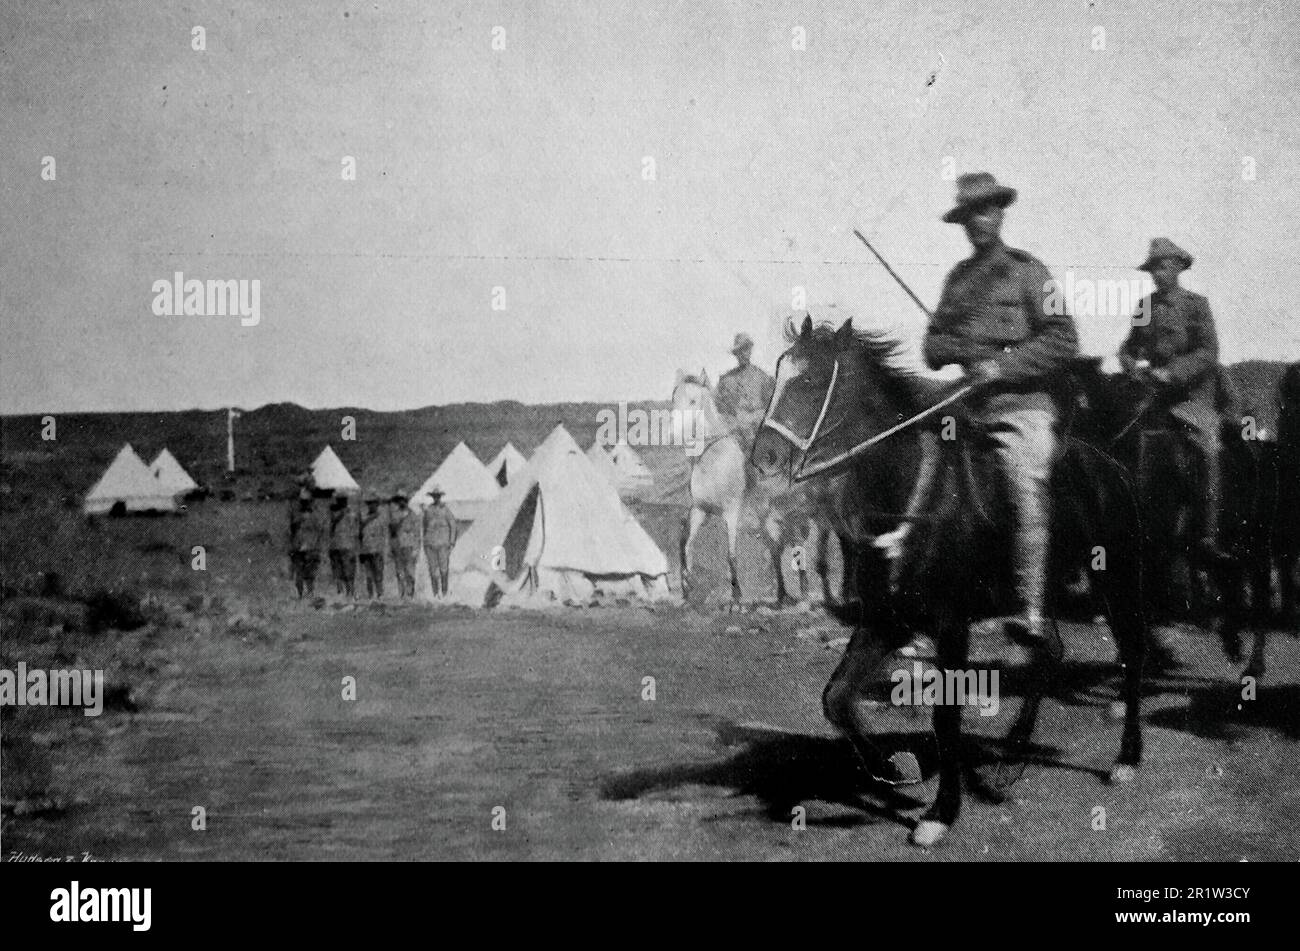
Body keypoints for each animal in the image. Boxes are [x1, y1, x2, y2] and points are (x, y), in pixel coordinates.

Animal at [676, 368, 826, 605]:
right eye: (674, 398)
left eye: (692, 401)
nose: (674, 431)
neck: (712, 458)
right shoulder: (700, 510)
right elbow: (685, 543)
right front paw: (686, 587)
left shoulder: (731, 513)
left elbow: (731, 554)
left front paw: (737, 598)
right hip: (774, 519)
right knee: (779, 550)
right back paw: (782, 595)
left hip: (801, 515)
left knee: (799, 546)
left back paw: (803, 592)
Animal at [754, 319, 1149, 847]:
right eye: (778, 374)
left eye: (813, 381)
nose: (763, 457)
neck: (908, 495)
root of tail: (1113, 467)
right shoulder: (887, 620)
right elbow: (836, 698)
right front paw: (895, 769)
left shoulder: (950, 625)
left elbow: (945, 717)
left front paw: (941, 812)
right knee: (1049, 651)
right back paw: (1009, 760)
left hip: (1117, 582)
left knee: (1131, 655)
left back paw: (1126, 758)